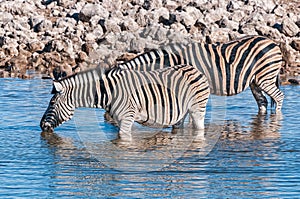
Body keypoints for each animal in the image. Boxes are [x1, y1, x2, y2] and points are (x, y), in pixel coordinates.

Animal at [39, 64, 210, 141]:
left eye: (52, 103)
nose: (41, 126)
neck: (108, 93)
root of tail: (195, 69)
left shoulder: (126, 118)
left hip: (197, 109)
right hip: (180, 113)